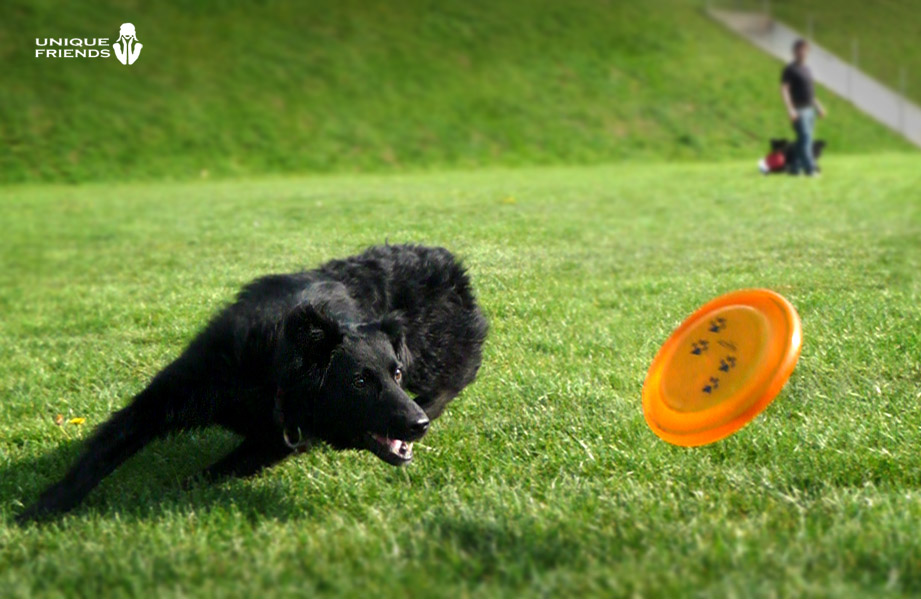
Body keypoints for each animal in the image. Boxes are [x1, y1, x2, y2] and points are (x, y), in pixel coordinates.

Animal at [18, 244, 486, 520]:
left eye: (396, 374)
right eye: (358, 381)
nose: (417, 424)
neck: (271, 368)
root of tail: (452, 266)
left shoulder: (276, 438)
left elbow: (213, 471)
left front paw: (168, 493)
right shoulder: (178, 388)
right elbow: (104, 448)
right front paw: (43, 508)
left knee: (452, 382)